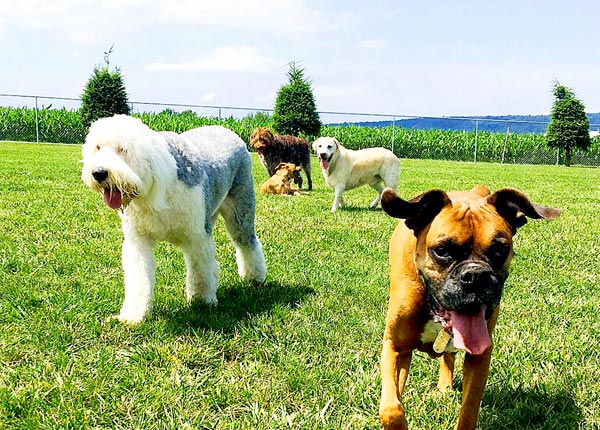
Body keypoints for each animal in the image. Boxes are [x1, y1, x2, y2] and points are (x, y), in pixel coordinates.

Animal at [81, 114, 266, 322]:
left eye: (123, 149)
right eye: (97, 147)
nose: (98, 173)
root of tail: (227, 130)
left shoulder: (197, 236)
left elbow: (200, 271)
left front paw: (202, 302)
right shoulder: (138, 240)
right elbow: (139, 277)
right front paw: (133, 315)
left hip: (240, 210)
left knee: (246, 242)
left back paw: (254, 277)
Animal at [380, 186, 556, 430]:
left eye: (500, 249)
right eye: (442, 250)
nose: (476, 276)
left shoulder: (480, 357)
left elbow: (469, 407)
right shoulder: (393, 347)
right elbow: (390, 408)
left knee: (448, 356)